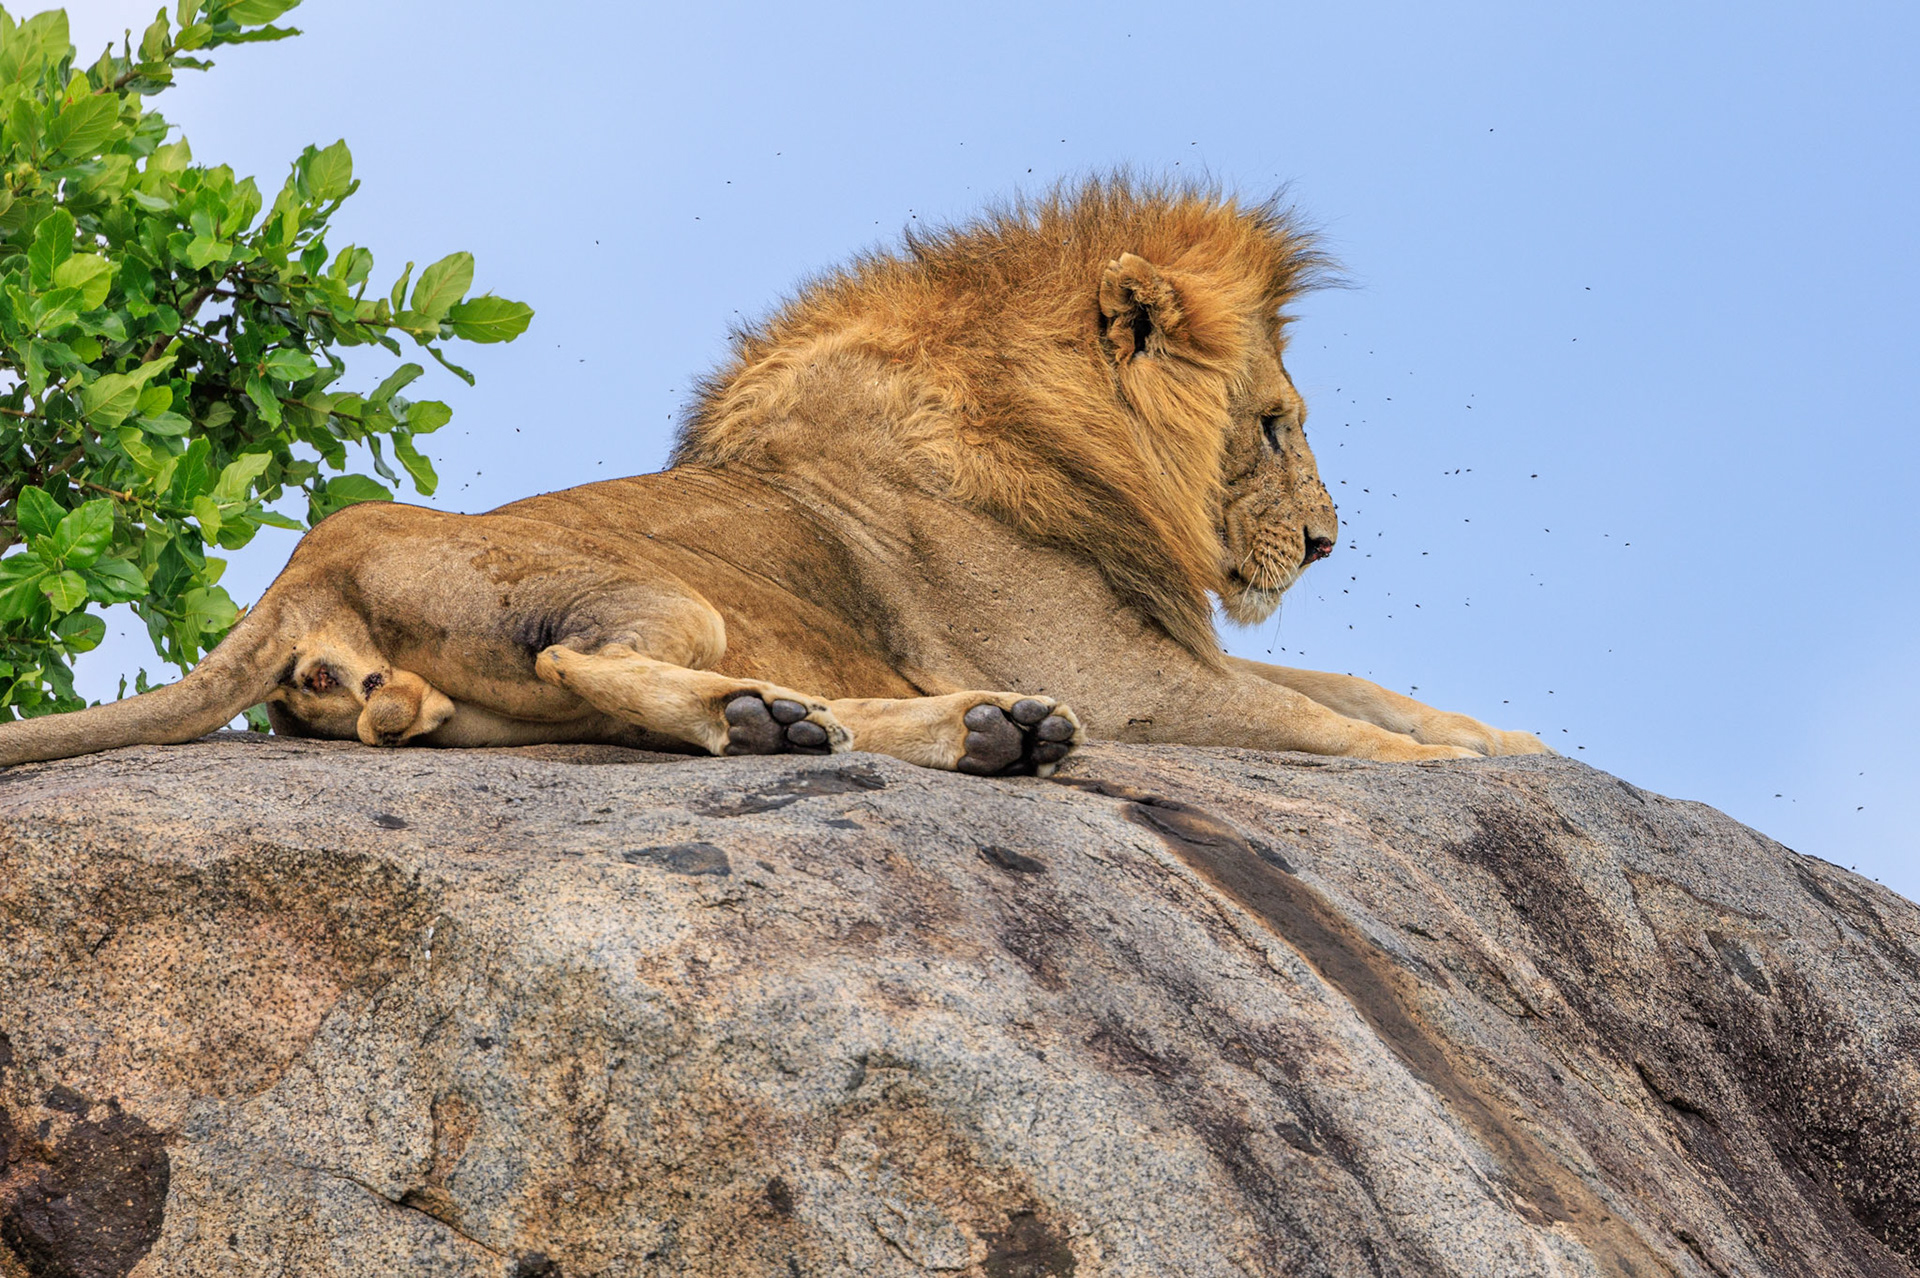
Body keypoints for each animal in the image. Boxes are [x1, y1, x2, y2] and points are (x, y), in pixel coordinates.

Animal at [0, 178, 1546, 773]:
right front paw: (1455, 761)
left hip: (469, 706)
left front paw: (1507, 741)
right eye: (1276, 425)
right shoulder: (1133, 679)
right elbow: (1324, 717)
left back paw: (950, 728)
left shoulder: (1156, 652)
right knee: (591, 664)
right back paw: (812, 721)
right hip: (653, 597)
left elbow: (1350, 684)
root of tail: (304, 559)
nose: (1329, 543)